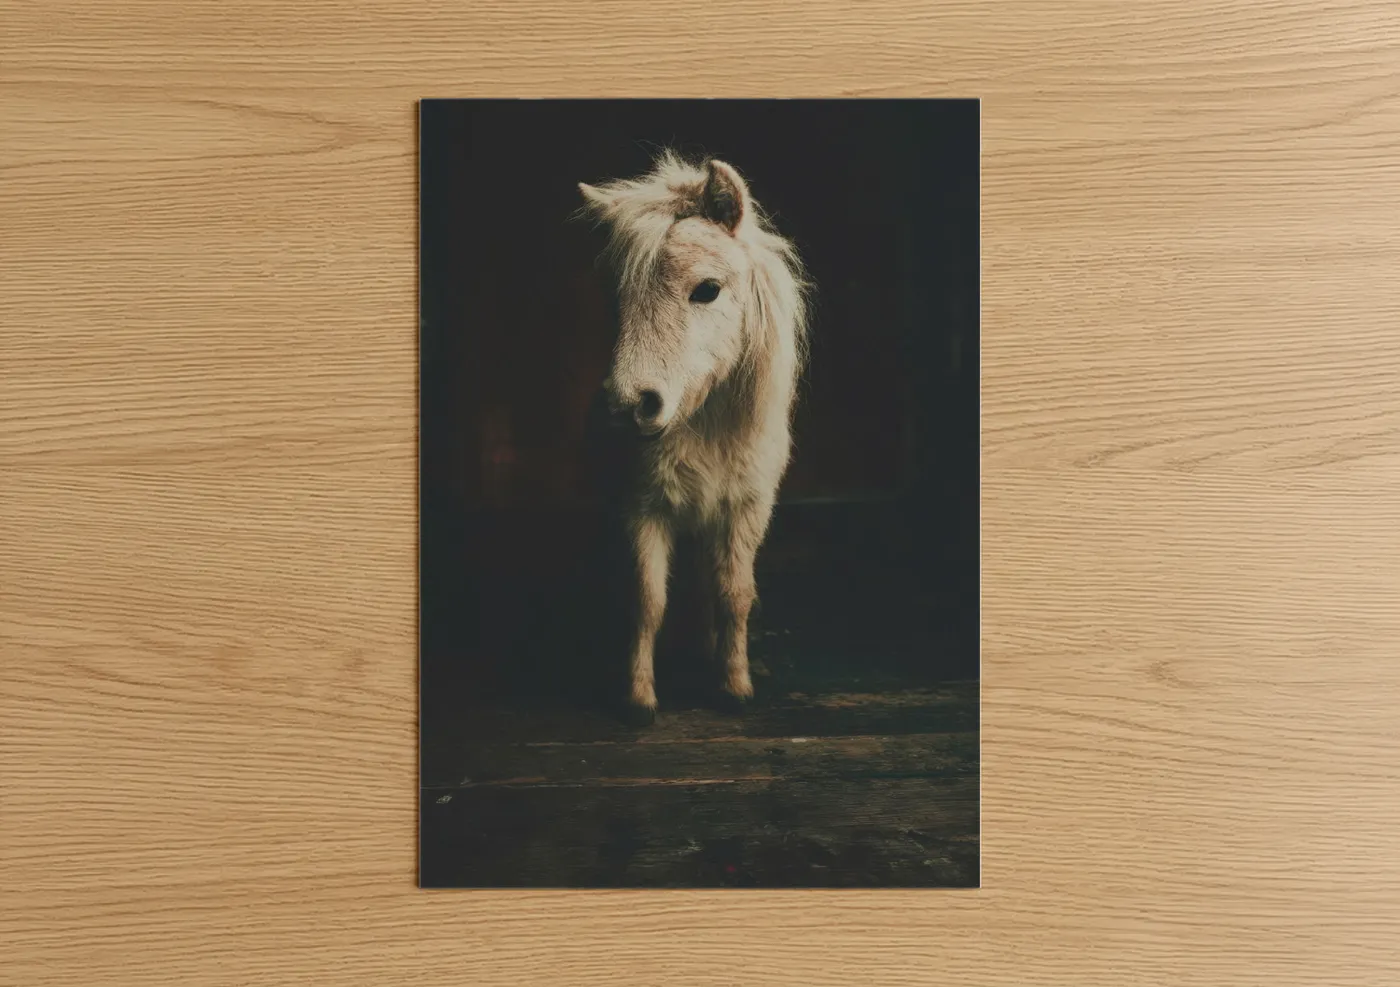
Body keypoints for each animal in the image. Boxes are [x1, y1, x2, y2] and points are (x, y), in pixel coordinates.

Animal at [576, 151, 811, 725]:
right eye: (616, 299)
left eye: (706, 289)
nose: (628, 407)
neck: (704, 426)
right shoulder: (641, 509)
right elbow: (647, 600)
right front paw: (638, 699)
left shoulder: (746, 509)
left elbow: (733, 593)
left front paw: (733, 685)